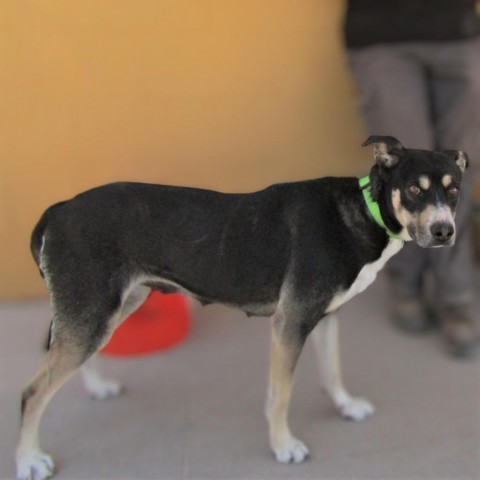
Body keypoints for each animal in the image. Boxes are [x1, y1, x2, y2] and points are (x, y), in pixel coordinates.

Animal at [15, 136, 468, 480]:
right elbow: (281, 395)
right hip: (94, 312)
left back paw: (97, 388)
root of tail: (59, 208)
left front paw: (345, 404)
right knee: (33, 392)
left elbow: (332, 368)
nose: (444, 232)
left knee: (72, 359)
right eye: (415, 189)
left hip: (108, 309)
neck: (364, 213)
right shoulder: (290, 323)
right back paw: (28, 459)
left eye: (454, 190)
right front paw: (283, 446)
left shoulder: (325, 317)